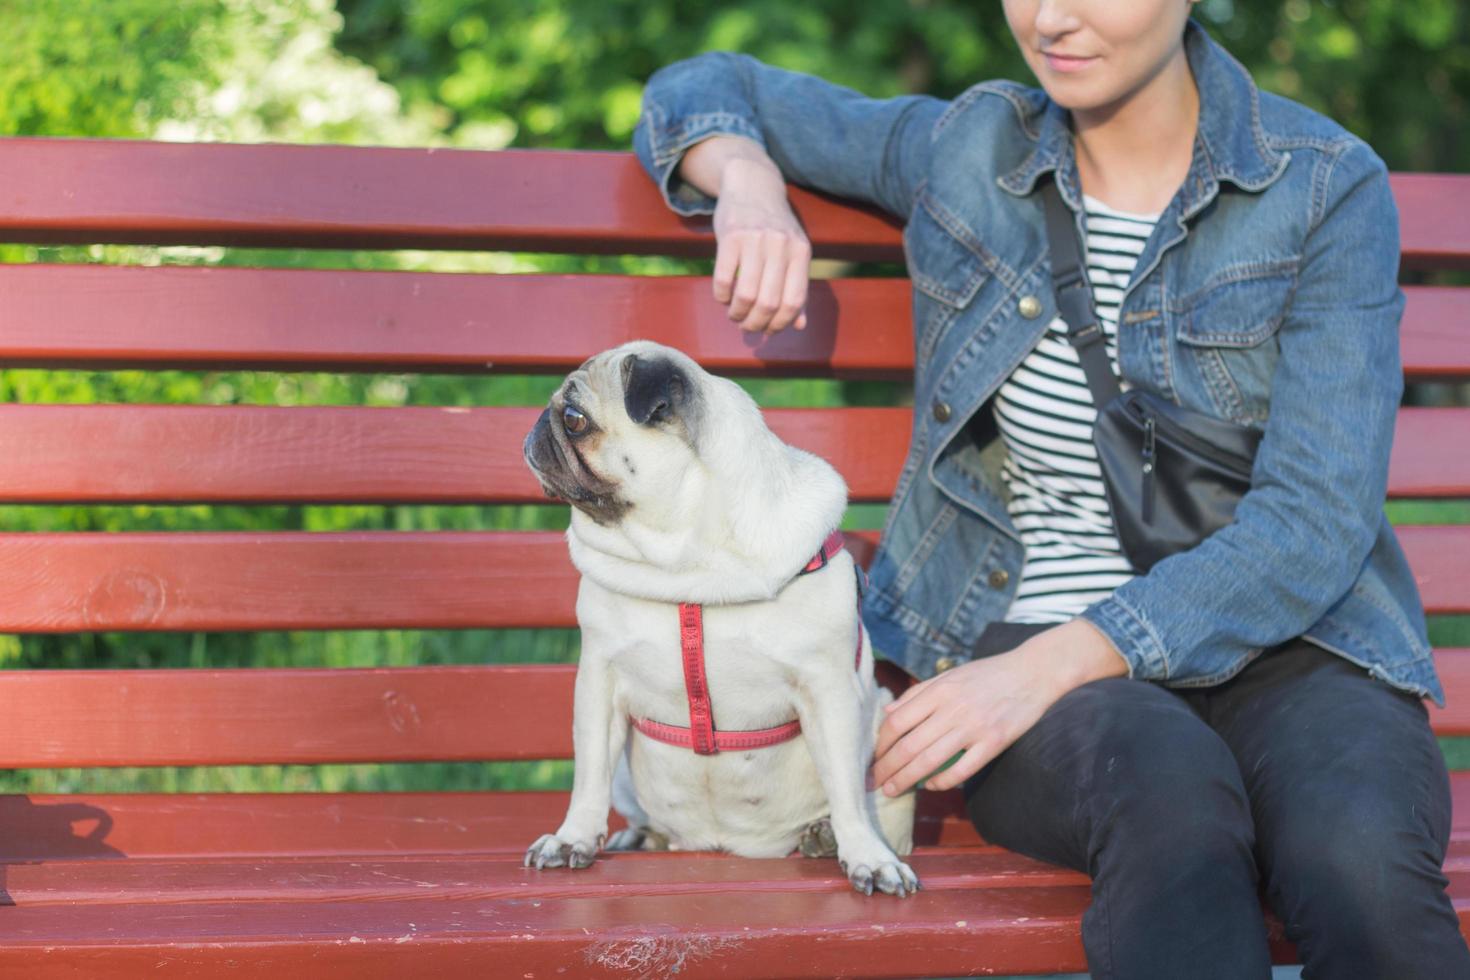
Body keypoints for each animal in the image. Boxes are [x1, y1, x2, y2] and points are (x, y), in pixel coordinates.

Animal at [520, 337, 917, 899]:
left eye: (574, 418)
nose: (538, 425)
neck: (688, 564)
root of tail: (723, 844)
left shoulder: (829, 693)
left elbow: (845, 789)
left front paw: (868, 857)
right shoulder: (598, 682)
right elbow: (588, 776)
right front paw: (573, 837)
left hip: (883, 728)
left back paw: (825, 838)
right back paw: (640, 838)